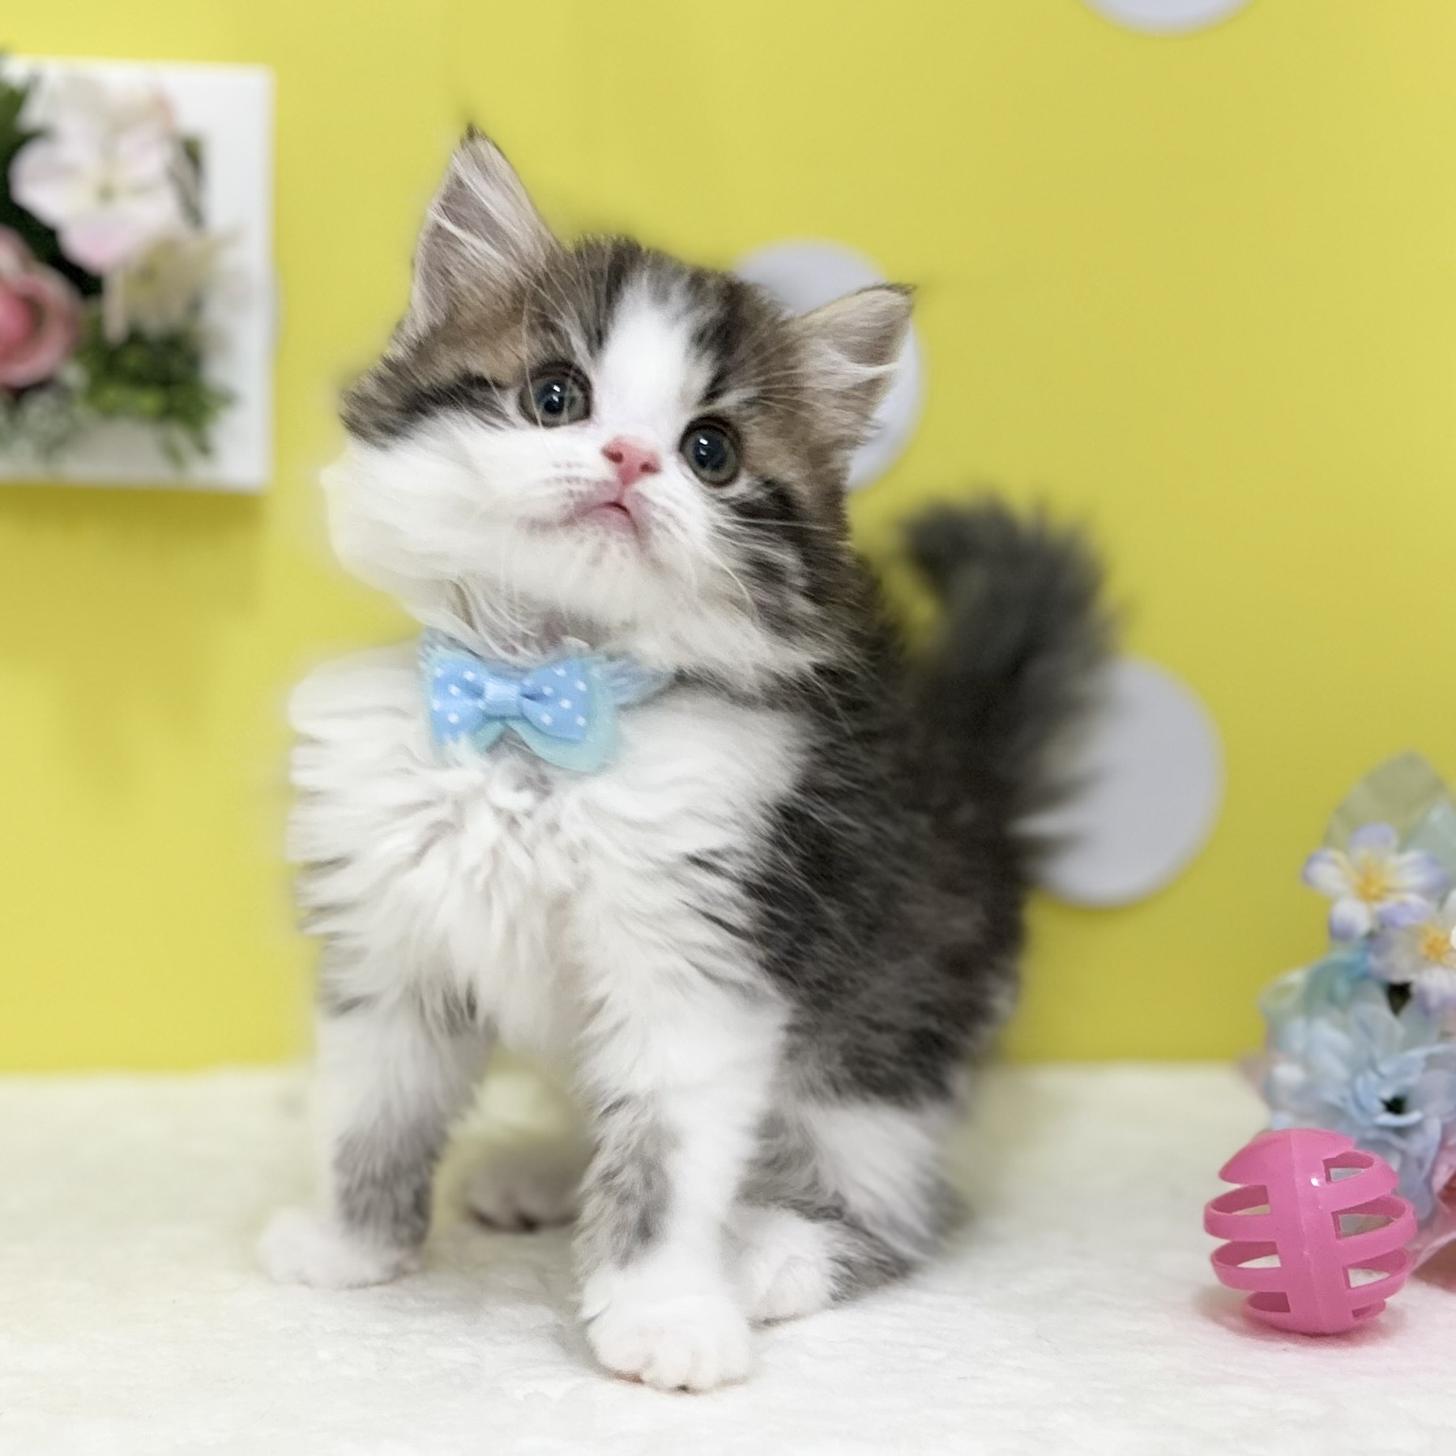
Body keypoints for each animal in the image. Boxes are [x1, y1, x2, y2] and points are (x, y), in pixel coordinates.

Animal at [259, 128, 1109, 1392]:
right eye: (553, 396)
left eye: (711, 452)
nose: (626, 458)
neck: (536, 709)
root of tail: (970, 774)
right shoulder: (392, 938)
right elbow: (371, 1108)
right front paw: (346, 1245)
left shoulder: (702, 959)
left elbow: (663, 1158)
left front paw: (662, 1314)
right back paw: (547, 1171)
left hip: (885, 1039)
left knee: (899, 1203)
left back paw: (774, 1250)